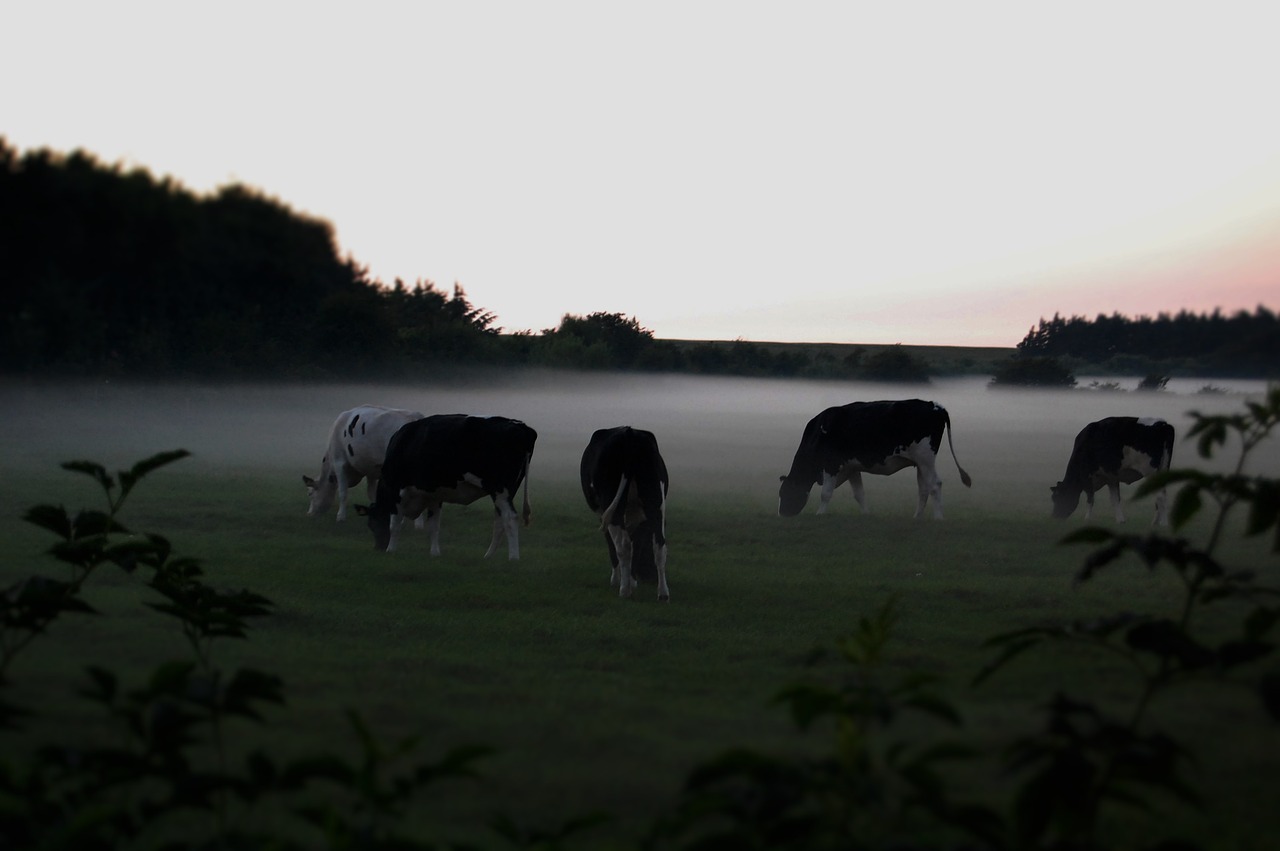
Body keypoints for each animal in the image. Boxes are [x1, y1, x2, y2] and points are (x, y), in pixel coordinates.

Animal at [358, 412, 537, 557]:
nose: (378, 548)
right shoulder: (434, 495)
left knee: (510, 518)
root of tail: (520, 426)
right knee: (500, 521)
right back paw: (489, 556)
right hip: (506, 492)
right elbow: (433, 526)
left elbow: (394, 524)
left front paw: (391, 550)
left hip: (499, 489)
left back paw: (513, 558)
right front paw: (435, 553)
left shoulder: (397, 489)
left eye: (371, 524)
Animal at [583, 427, 675, 601]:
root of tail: (629, 433)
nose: (651, 578)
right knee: (660, 545)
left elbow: (613, 543)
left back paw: (624, 590)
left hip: (612, 503)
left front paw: (617, 580)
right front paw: (632, 580)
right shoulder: (643, 518)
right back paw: (663, 593)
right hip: (655, 502)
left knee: (623, 545)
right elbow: (638, 543)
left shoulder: (603, 514)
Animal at [773, 399, 972, 516]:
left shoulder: (831, 464)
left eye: (785, 493)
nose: (782, 514)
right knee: (923, 490)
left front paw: (820, 515)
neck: (819, 432)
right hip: (920, 462)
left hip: (926, 458)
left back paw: (938, 518)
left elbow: (825, 494)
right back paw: (917, 518)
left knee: (935, 485)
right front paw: (866, 515)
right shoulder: (851, 467)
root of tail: (935, 406)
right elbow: (859, 494)